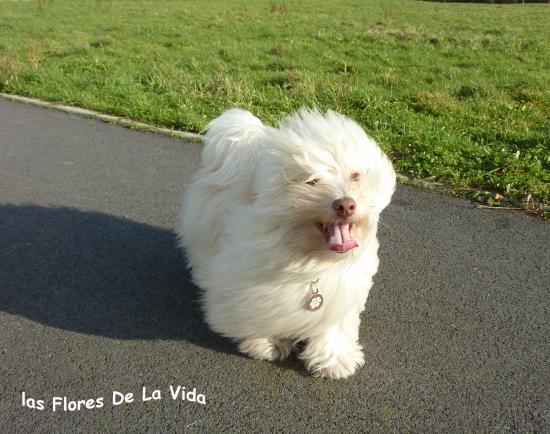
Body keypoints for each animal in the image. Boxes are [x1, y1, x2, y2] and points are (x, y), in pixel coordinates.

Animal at [177, 108, 396, 379]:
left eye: (356, 176)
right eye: (312, 181)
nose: (346, 205)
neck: (309, 255)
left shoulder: (344, 285)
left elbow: (334, 322)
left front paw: (333, 359)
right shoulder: (250, 279)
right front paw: (265, 343)